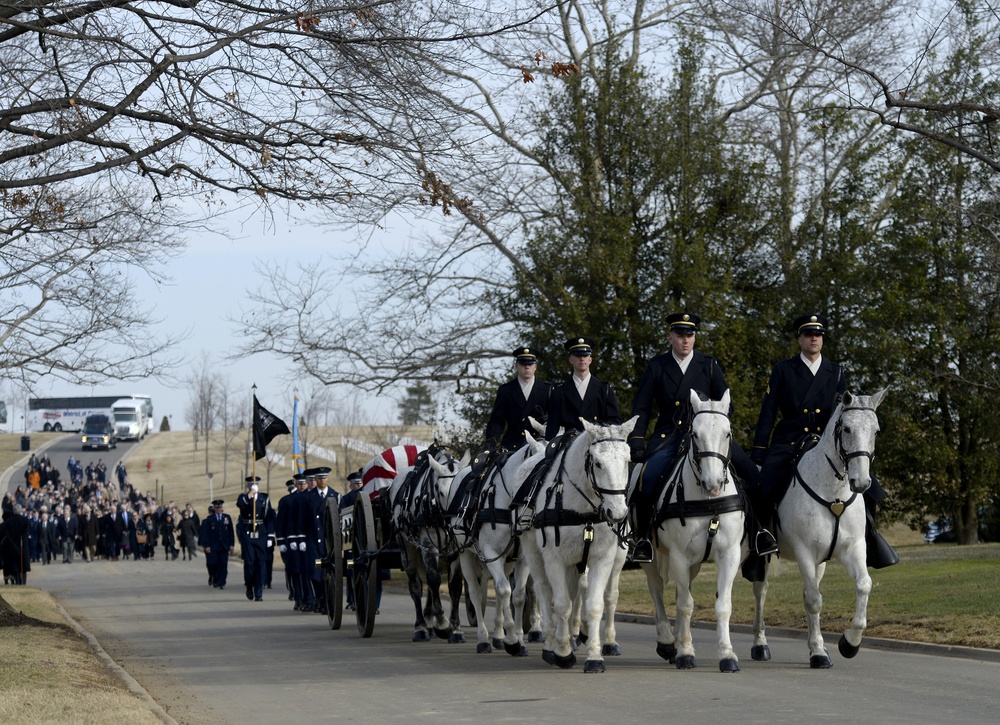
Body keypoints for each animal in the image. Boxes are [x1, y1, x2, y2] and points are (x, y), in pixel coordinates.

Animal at [388, 444, 470, 640]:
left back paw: (429, 619)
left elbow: (455, 585)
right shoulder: (428, 545)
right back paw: (421, 626)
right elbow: (433, 580)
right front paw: (442, 624)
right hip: (407, 548)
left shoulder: (455, 549)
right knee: (416, 586)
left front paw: (456, 628)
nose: (453, 521)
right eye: (440, 491)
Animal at [448, 430, 548, 656]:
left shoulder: (522, 559)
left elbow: (517, 595)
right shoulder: (491, 552)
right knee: (476, 593)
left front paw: (517, 638)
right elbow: (503, 591)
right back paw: (484, 639)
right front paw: (512, 639)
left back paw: (498, 635)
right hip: (466, 555)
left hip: (505, 560)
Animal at [516, 418, 640, 672]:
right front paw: (562, 652)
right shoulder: (554, 560)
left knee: (594, 594)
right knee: (543, 591)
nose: (617, 513)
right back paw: (551, 643)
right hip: (534, 555)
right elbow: (562, 605)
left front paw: (594, 656)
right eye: (598, 463)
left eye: (627, 460)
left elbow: (593, 605)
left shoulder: (602, 558)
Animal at [636, 390, 748, 672]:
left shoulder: (728, 556)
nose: (713, 484)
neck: (707, 501)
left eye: (728, 433)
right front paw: (686, 652)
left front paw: (726, 654)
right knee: (657, 590)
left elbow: (722, 605)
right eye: (695, 434)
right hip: (651, 556)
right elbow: (685, 604)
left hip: (694, 563)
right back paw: (667, 641)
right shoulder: (678, 556)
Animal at [752, 390, 888, 668]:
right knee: (761, 591)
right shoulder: (804, 552)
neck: (833, 493)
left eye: (876, 430)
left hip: (821, 562)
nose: (861, 482)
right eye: (847, 428)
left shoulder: (853, 549)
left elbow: (863, 585)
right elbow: (814, 601)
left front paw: (849, 643)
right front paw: (818, 654)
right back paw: (760, 645)